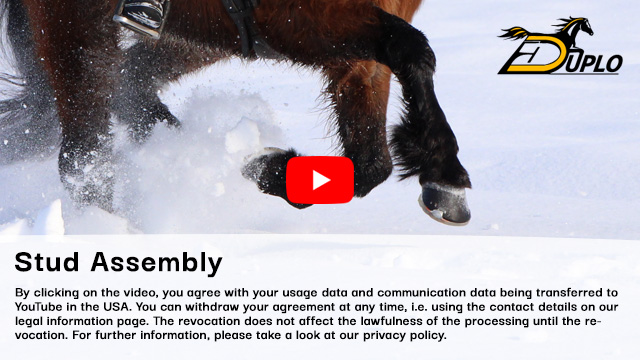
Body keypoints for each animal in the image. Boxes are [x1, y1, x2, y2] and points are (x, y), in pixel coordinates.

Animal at [0, 0, 470, 225]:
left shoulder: (359, 54)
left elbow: (371, 164)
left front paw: (268, 168)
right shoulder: (304, 18)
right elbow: (413, 51)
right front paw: (447, 176)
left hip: (198, 35)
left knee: (130, 87)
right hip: (75, 27)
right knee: (84, 158)